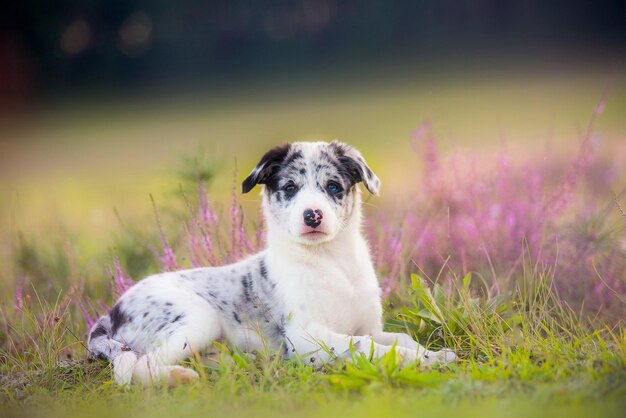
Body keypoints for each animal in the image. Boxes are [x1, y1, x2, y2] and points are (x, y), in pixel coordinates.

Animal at [88, 140, 454, 386]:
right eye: (290, 188)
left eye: (333, 187)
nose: (312, 215)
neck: (331, 262)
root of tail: (109, 313)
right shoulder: (306, 338)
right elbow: (367, 347)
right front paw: (420, 361)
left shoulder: (368, 327)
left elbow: (398, 339)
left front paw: (432, 354)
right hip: (197, 319)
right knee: (138, 367)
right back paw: (180, 376)